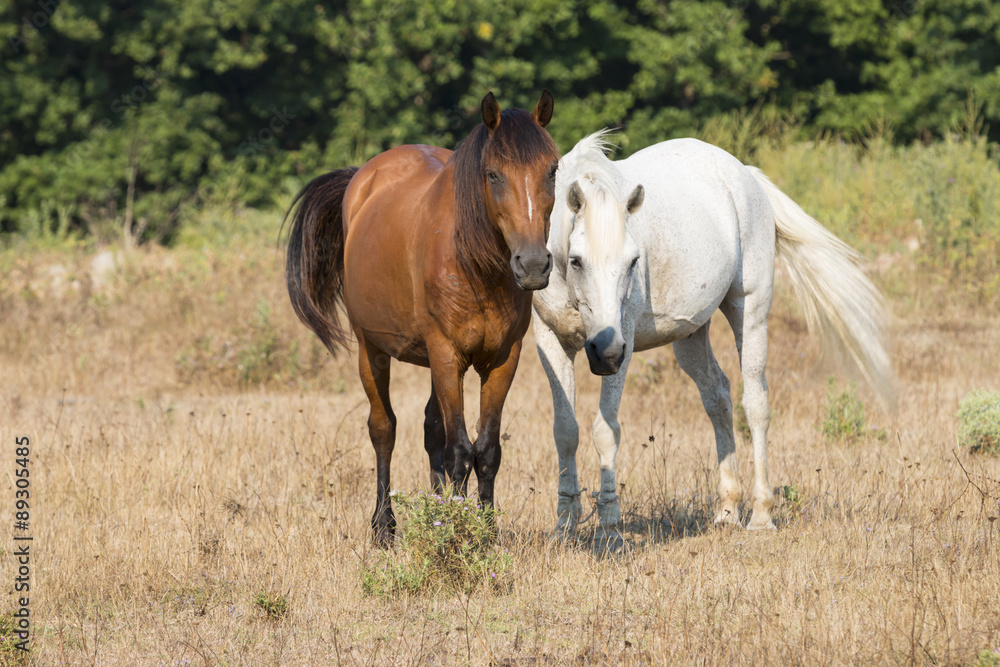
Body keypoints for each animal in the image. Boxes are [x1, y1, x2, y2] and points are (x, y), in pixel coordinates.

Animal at [285, 91, 560, 545]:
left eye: (552, 170)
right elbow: (459, 451)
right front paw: (460, 533)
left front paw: (484, 532)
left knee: (432, 430)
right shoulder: (447, 354)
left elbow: (486, 450)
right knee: (384, 429)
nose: (534, 265)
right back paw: (384, 526)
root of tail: (362, 179)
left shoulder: (503, 359)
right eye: (492, 174)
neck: (475, 266)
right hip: (372, 350)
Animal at [531, 130, 895, 542]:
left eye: (633, 261)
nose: (605, 354)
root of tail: (746, 175)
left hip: (749, 312)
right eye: (576, 260)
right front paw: (564, 525)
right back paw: (727, 510)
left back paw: (761, 515)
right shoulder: (551, 340)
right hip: (690, 335)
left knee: (755, 403)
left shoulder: (624, 340)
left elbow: (605, 431)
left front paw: (609, 526)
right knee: (718, 396)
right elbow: (565, 431)